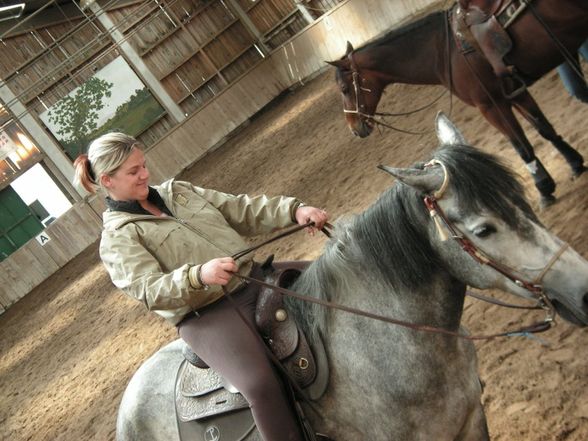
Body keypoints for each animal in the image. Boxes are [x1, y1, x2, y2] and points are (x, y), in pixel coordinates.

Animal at [328, 0, 584, 205]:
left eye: (344, 89)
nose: (354, 128)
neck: (445, 50)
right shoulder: (515, 92)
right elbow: (545, 130)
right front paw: (575, 164)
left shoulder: (491, 106)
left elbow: (522, 147)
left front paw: (543, 188)